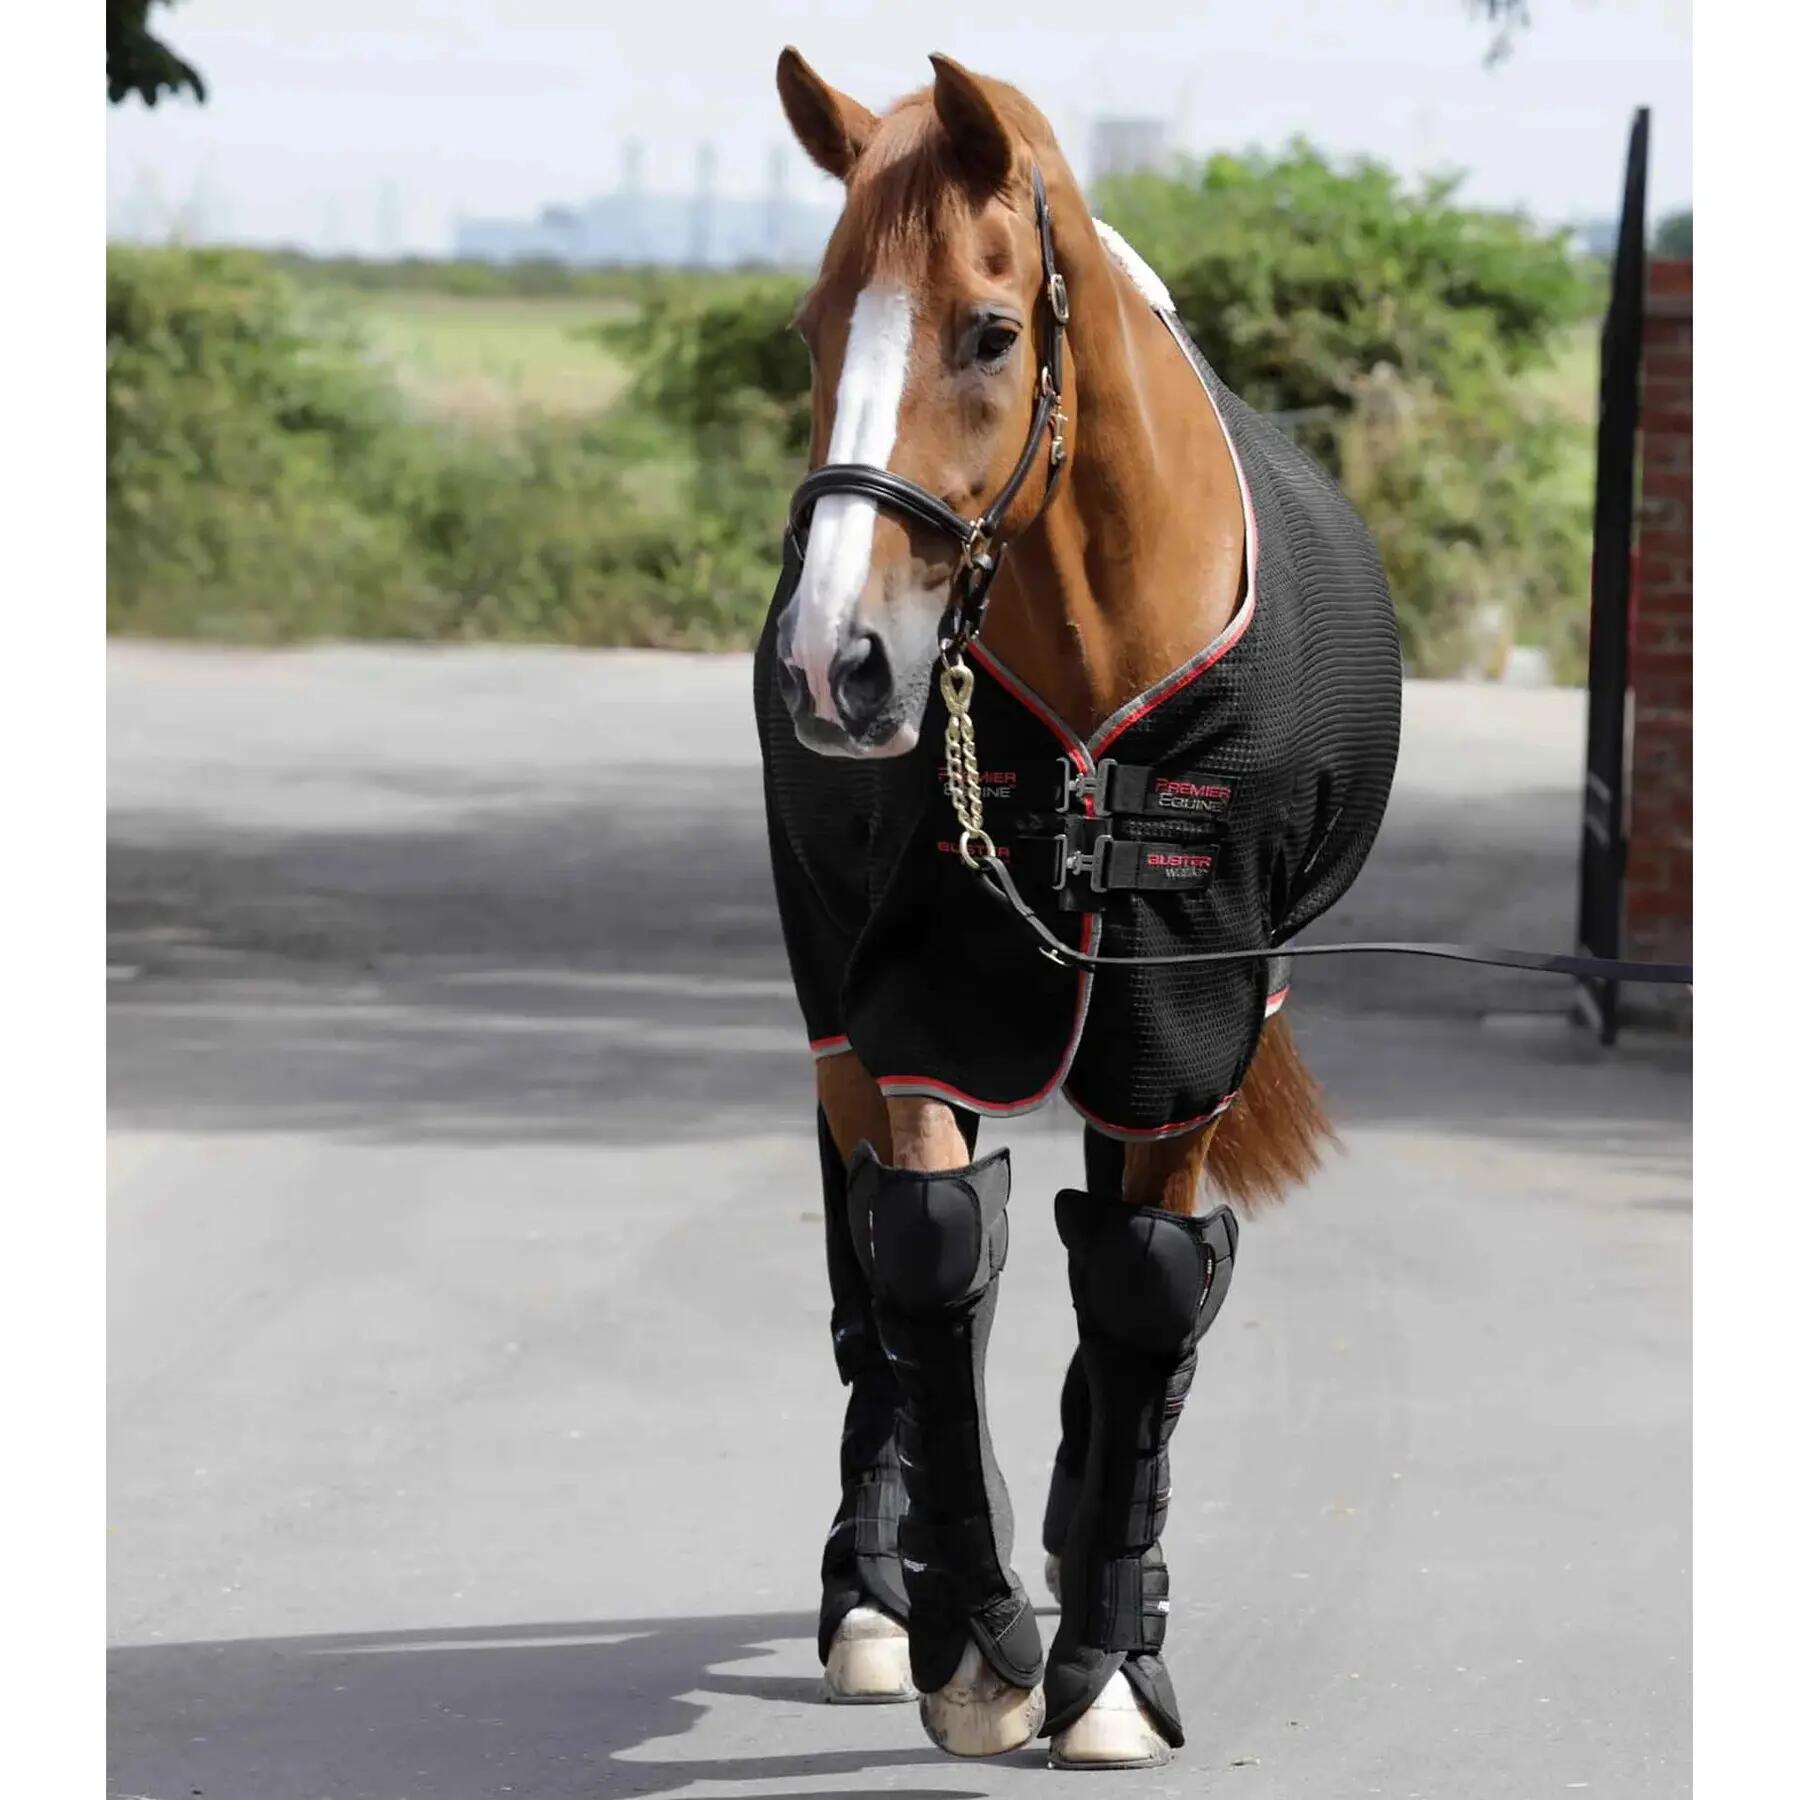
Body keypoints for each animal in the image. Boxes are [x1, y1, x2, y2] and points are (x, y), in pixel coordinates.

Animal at [752, 49, 1402, 1770]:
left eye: (989, 332)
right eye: (816, 328)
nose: (835, 667)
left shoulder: (1190, 1007)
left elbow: (1146, 1284)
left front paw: (1107, 1664)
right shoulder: (925, 991)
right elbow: (923, 1257)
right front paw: (970, 1644)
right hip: (839, 989)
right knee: (885, 1261)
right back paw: (877, 1589)